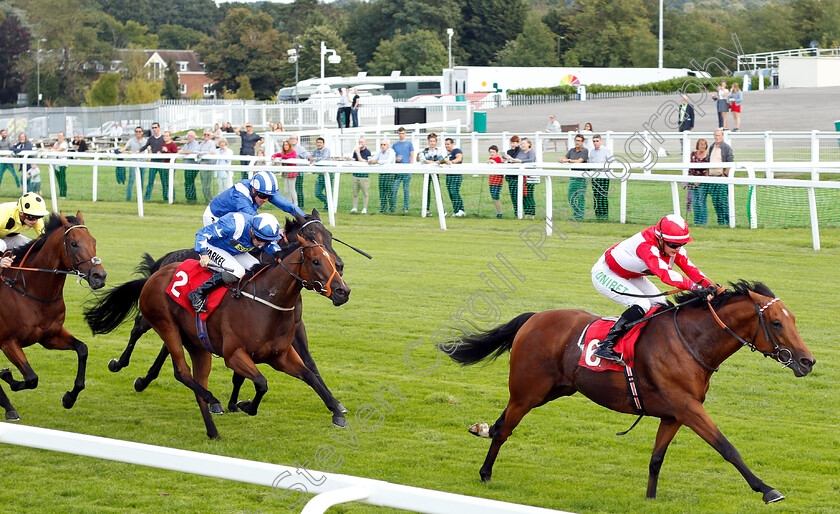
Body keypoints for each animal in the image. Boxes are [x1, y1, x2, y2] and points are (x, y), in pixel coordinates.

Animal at [0, 212, 107, 420]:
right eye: (74, 243)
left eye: (94, 241)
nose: (99, 276)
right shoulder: (8, 342)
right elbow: (31, 378)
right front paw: (7, 378)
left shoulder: (49, 336)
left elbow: (82, 349)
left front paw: (69, 398)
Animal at [83, 212, 348, 436]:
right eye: (316, 260)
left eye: (329, 237)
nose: (342, 290)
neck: (265, 300)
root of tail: (161, 267)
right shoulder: (234, 354)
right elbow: (261, 382)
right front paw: (242, 404)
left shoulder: (282, 351)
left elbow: (309, 372)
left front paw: (337, 409)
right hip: (163, 321)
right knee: (143, 331)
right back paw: (123, 366)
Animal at [442, 280, 816, 500]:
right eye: (777, 322)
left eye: (794, 320)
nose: (808, 361)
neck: (692, 341)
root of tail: (534, 318)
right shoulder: (689, 408)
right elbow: (727, 447)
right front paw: (767, 490)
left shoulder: (674, 413)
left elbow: (656, 458)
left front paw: (650, 499)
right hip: (529, 391)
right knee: (506, 429)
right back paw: (486, 474)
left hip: (554, 390)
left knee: (501, 423)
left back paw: (481, 429)